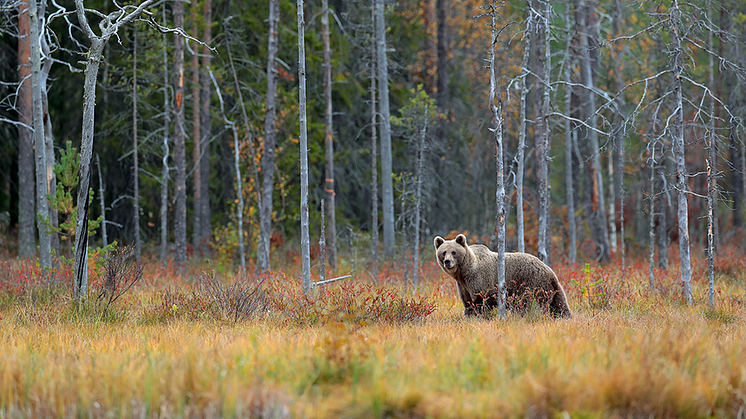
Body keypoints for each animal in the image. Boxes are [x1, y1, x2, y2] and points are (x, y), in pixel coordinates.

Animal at [430, 235, 568, 320]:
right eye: (443, 252)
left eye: (454, 252)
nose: (447, 261)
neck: (464, 272)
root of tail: (550, 271)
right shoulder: (463, 286)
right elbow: (468, 302)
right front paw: (468, 314)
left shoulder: (480, 280)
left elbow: (481, 302)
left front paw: (479, 316)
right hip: (552, 289)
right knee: (560, 305)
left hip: (532, 284)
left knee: (528, 304)